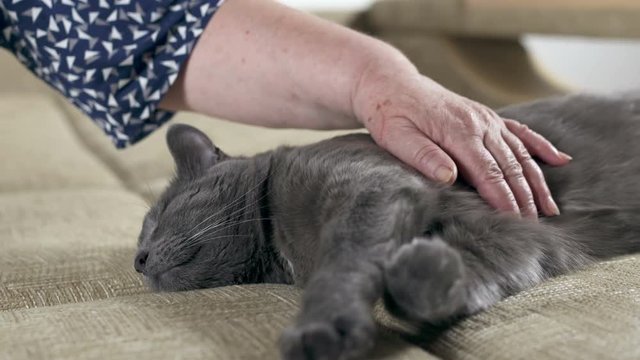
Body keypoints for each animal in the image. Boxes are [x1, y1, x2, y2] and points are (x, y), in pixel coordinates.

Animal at [134, 93, 640, 360]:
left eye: (160, 215)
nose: (137, 260)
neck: (282, 254)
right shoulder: (521, 232)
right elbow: (488, 261)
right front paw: (427, 273)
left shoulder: (371, 189)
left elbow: (343, 262)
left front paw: (323, 330)